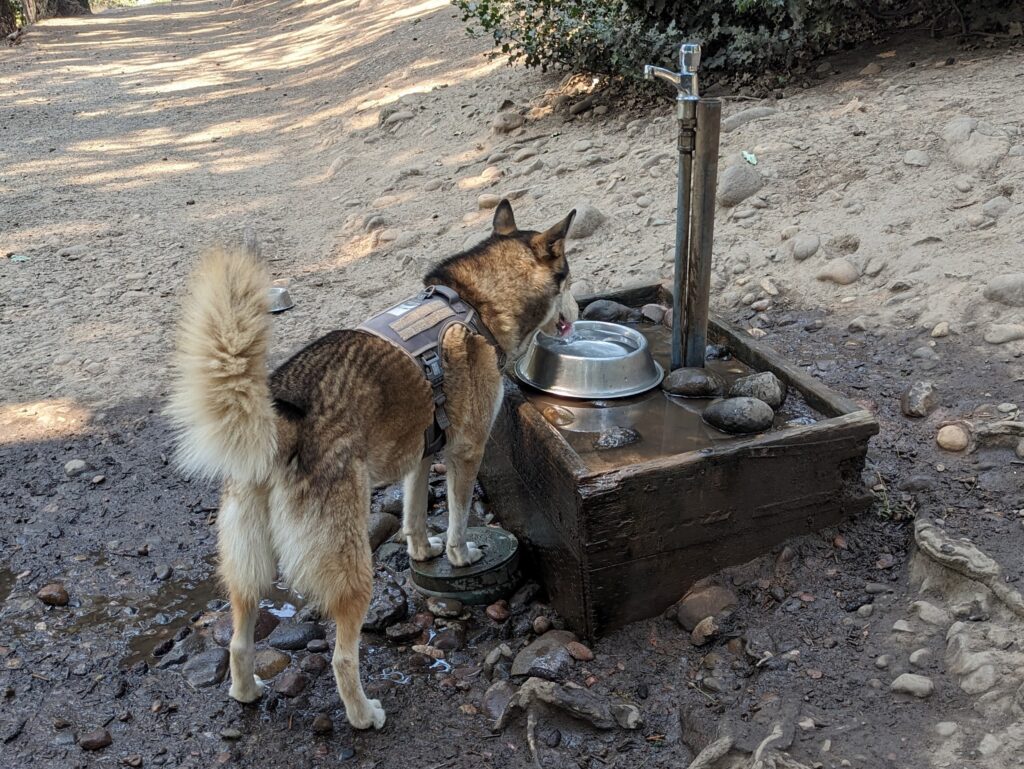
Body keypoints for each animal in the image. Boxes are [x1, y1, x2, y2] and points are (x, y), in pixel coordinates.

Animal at [172, 201, 581, 729]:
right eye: (569, 277)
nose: (579, 313)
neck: (474, 303)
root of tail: (282, 420)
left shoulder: (422, 452)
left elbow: (413, 513)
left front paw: (422, 551)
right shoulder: (465, 450)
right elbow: (457, 516)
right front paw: (458, 554)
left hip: (247, 570)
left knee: (240, 641)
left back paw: (247, 692)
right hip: (352, 572)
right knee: (342, 658)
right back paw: (363, 714)